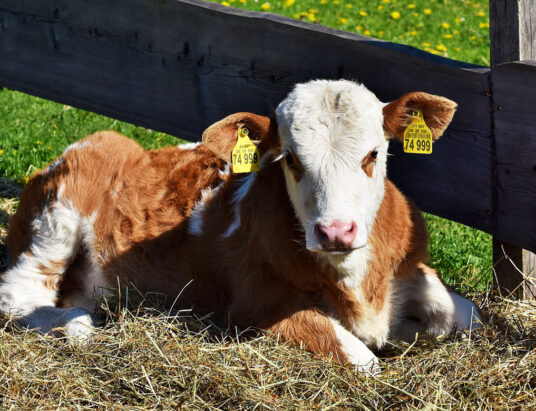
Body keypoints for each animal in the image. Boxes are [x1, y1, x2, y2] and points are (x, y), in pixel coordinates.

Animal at [0, 80, 478, 374]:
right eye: (291, 159)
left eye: (374, 153)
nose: (335, 232)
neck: (358, 284)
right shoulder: (256, 305)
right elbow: (362, 358)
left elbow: (464, 314)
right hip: (56, 219)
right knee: (19, 294)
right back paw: (78, 326)